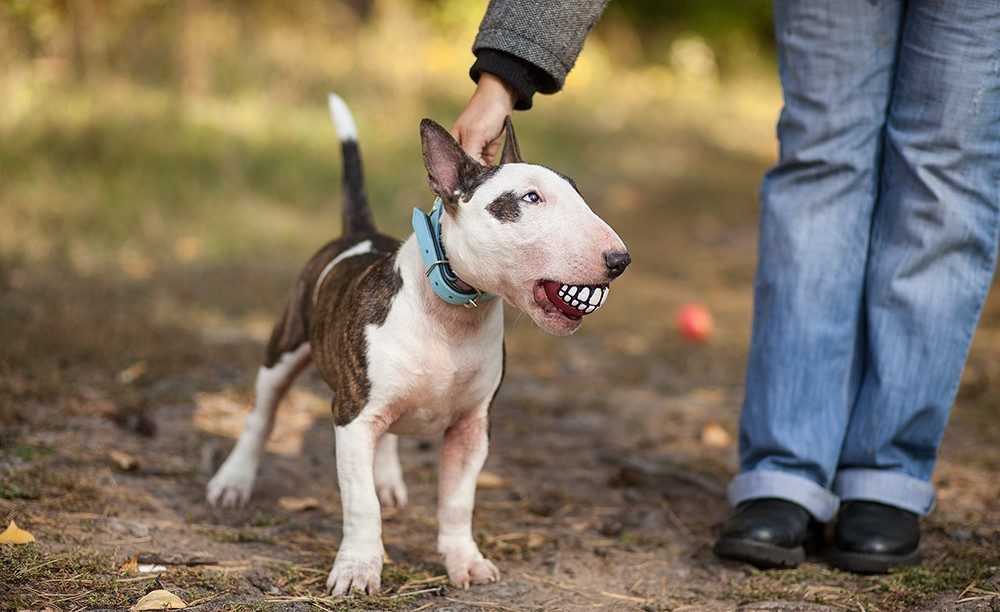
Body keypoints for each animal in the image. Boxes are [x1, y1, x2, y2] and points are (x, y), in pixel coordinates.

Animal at [206, 94, 628, 592]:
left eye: (578, 194)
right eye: (530, 198)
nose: (619, 259)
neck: (453, 318)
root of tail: (359, 233)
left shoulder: (471, 428)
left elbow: (457, 502)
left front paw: (465, 561)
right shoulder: (352, 416)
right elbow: (360, 504)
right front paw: (358, 569)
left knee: (387, 436)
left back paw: (387, 480)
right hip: (285, 349)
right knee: (262, 414)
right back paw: (234, 480)